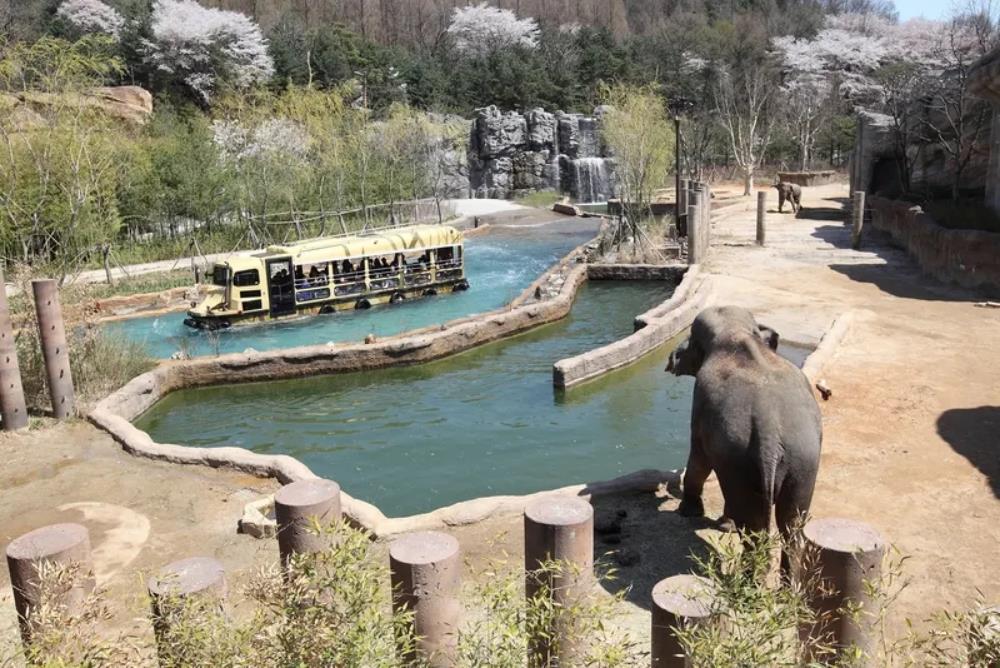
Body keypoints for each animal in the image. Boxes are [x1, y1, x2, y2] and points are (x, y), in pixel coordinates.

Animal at [664, 308, 820, 548]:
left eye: (691, 337)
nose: (671, 360)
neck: (734, 331)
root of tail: (769, 434)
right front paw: (723, 523)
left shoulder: (700, 403)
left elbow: (699, 457)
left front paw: (689, 513)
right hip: (803, 461)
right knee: (791, 525)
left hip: (741, 459)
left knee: (753, 526)